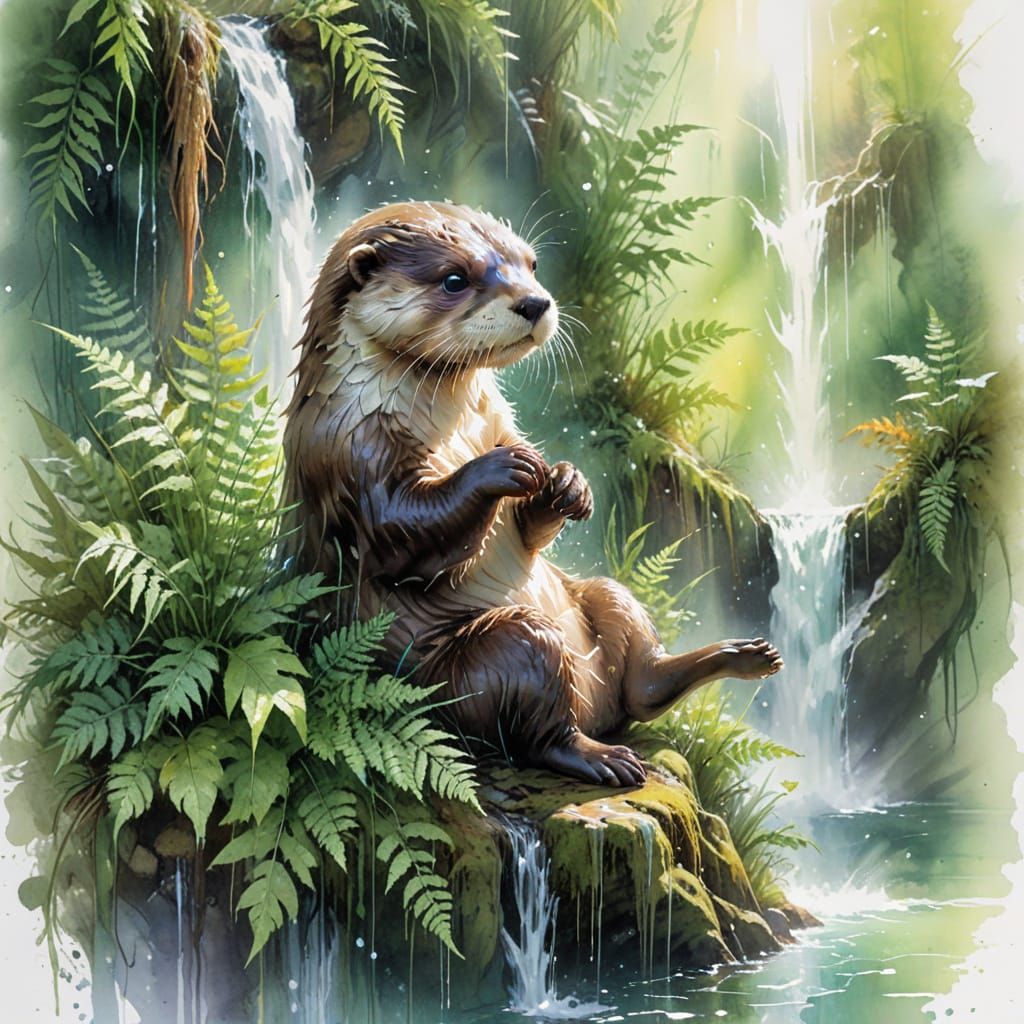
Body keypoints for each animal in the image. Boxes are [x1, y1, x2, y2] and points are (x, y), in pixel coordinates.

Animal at [284, 201, 783, 787]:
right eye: (454, 279)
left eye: (531, 264)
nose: (535, 302)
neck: (449, 427)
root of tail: (593, 709)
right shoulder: (349, 452)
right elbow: (397, 536)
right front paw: (501, 469)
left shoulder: (499, 420)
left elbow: (528, 527)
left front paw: (566, 483)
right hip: (492, 661)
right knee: (538, 724)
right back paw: (603, 758)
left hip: (602, 598)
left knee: (638, 675)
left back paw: (739, 657)